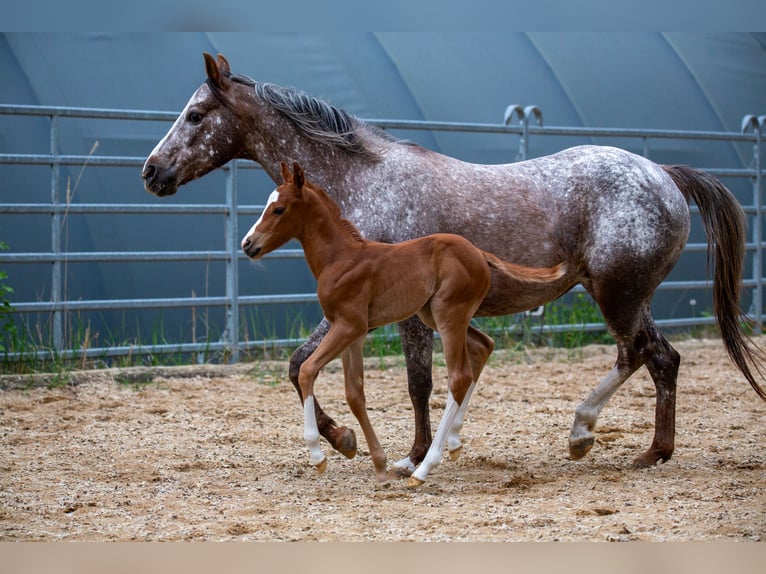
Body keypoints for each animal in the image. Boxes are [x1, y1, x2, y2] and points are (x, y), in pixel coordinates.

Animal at [241, 161, 565, 485]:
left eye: (279, 209)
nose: (248, 244)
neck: (341, 258)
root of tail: (478, 252)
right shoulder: (353, 333)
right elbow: (354, 393)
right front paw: (378, 463)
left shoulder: (348, 326)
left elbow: (308, 370)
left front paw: (318, 456)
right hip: (433, 314)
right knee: (482, 347)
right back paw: (453, 442)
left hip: (449, 315)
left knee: (459, 377)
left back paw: (423, 468)